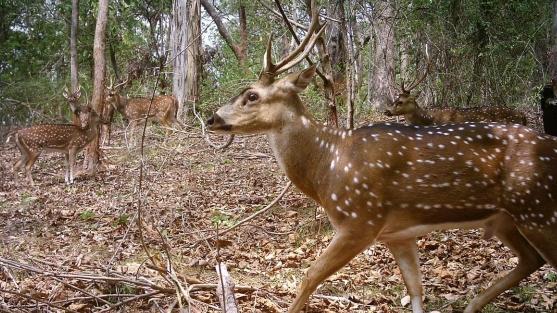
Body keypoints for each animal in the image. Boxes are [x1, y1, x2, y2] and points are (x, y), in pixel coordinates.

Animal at [204, 1, 556, 310]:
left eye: (252, 95)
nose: (212, 118)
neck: (328, 166)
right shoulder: (397, 234)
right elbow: (415, 292)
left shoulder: (360, 220)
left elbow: (309, 276)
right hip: (507, 218)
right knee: (531, 259)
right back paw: (471, 306)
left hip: (538, 209)